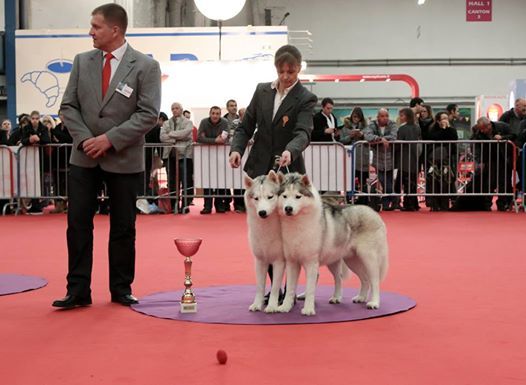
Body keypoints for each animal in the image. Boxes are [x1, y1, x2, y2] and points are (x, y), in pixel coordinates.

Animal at [245, 171, 286, 312]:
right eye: (256, 198)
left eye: (270, 197)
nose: (262, 212)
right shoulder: (260, 261)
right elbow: (260, 286)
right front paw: (257, 304)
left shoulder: (279, 261)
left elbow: (275, 288)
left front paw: (272, 306)